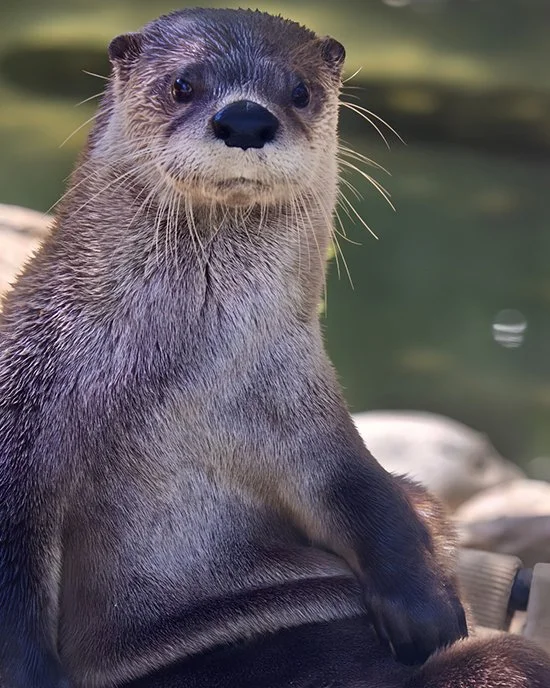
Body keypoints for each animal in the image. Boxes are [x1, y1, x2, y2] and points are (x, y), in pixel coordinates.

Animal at [0, 8, 548, 688]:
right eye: (183, 84)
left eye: (299, 90)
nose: (245, 119)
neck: (182, 376)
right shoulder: (24, 419)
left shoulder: (305, 407)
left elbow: (370, 495)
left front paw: (426, 610)